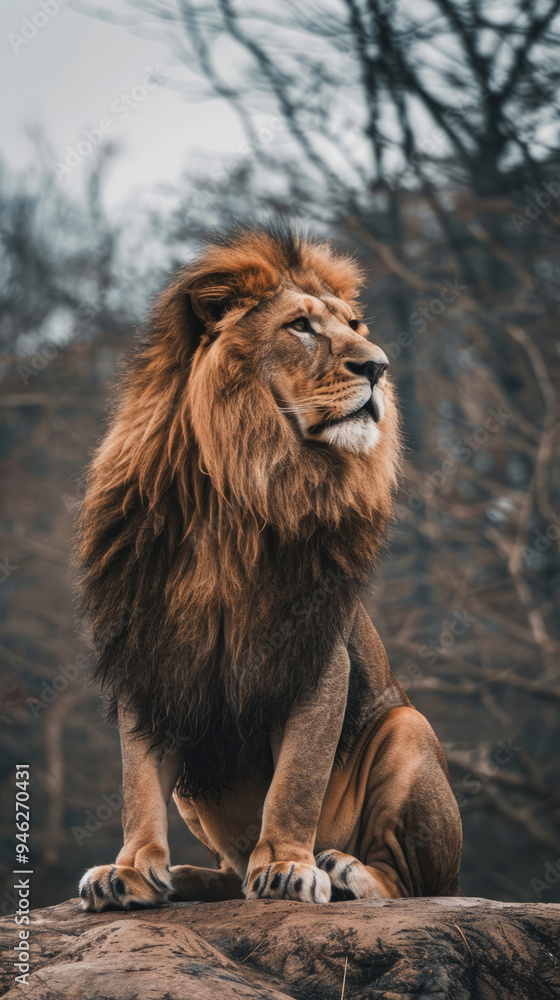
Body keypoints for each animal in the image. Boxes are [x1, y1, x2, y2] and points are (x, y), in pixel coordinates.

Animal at [77, 222, 462, 910]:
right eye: (301, 326)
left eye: (356, 326)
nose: (379, 365)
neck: (233, 493)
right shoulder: (148, 651)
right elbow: (136, 781)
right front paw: (131, 870)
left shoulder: (314, 651)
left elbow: (297, 779)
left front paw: (287, 864)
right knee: (229, 870)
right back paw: (189, 879)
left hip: (407, 728)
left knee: (410, 883)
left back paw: (345, 870)